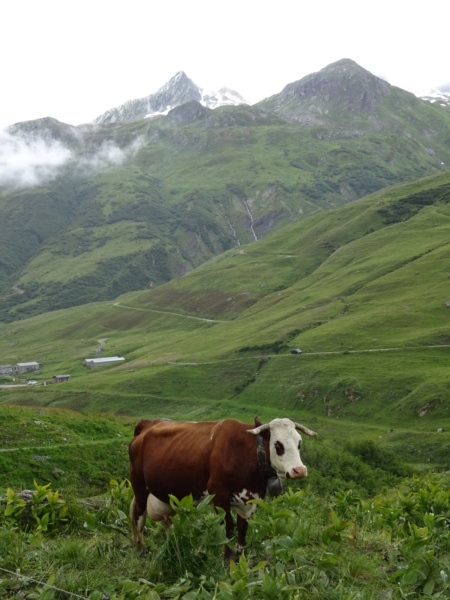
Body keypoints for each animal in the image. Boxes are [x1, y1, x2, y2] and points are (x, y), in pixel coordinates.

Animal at [127, 414, 316, 556]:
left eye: (299, 442)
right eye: (278, 444)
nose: (299, 470)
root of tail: (147, 423)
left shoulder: (249, 499)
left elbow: (242, 528)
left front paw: (240, 555)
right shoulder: (218, 494)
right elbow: (227, 529)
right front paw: (227, 557)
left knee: (165, 522)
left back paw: (171, 545)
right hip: (139, 485)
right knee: (139, 517)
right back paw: (142, 550)